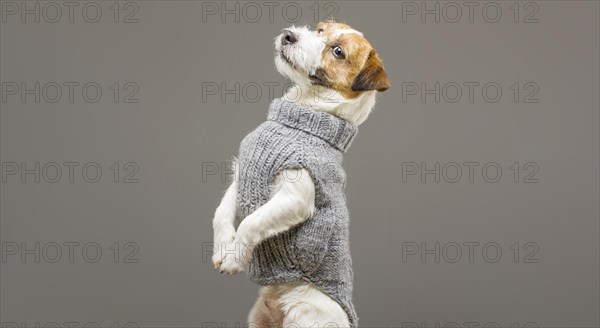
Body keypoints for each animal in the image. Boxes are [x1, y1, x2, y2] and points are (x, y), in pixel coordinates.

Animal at [211, 19, 390, 326]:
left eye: (338, 51)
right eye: (320, 30)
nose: (288, 36)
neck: (304, 115)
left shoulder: (296, 198)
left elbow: (251, 223)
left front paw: (235, 257)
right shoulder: (240, 174)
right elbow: (221, 214)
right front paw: (224, 248)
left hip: (306, 315)